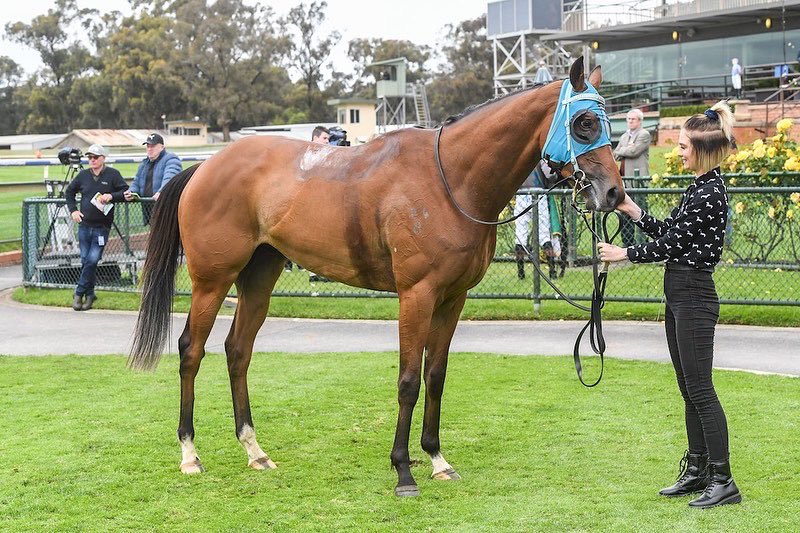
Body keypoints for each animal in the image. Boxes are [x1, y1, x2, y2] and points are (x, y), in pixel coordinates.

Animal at [130, 57, 624, 494]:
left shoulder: (453, 298)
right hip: (211, 282)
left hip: (259, 278)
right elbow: (407, 381)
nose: (614, 194)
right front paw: (403, 470)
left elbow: (435, 376)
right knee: (191, 351)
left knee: (238, 351)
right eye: (583, 123)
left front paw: (437, 459)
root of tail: (204, 167)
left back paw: (254, 450)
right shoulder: (416, 296)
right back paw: (190, 454)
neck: (449, 181)